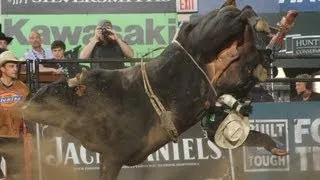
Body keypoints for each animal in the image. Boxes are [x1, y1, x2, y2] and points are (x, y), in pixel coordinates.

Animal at [22, 0, 298, 179]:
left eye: (49, 93)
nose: (23, 107)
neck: (90, 101)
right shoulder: (109, 158)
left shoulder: (113, 156)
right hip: (236, 68)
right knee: (254, 48)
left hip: (214, 30)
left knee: (244, 14)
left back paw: (268, 24)